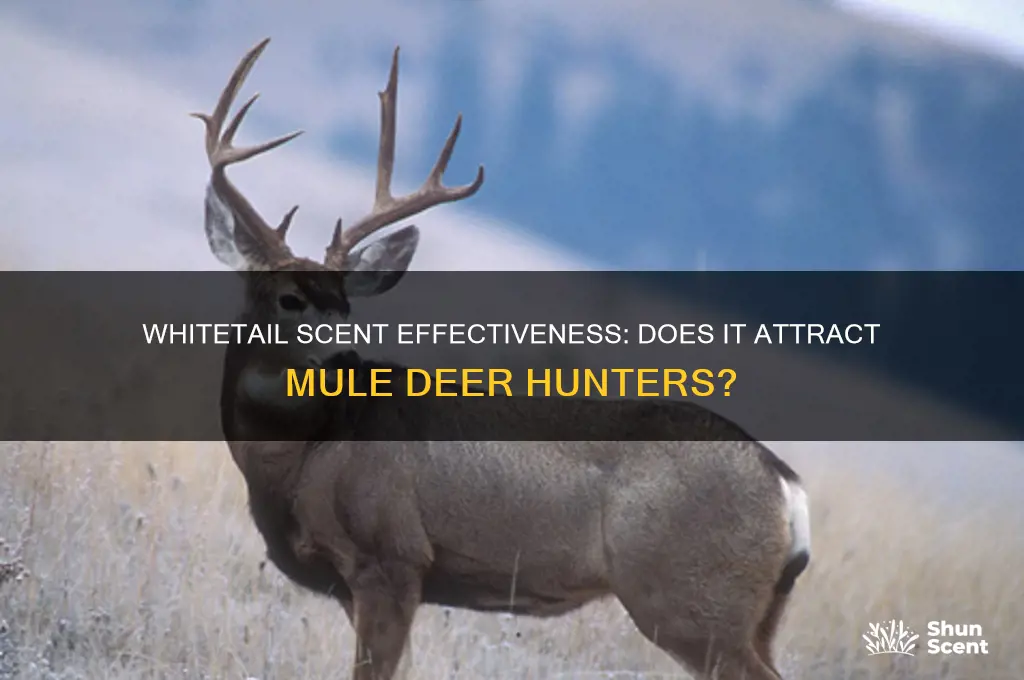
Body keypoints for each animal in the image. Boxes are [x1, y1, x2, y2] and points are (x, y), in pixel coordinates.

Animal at [192, 38, 812, 680]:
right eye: (288, 297)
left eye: (345, 303)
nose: (343, 352)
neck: (303, 459)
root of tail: (785, 487)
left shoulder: (392, 558)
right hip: (753, 613)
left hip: (691, 598)